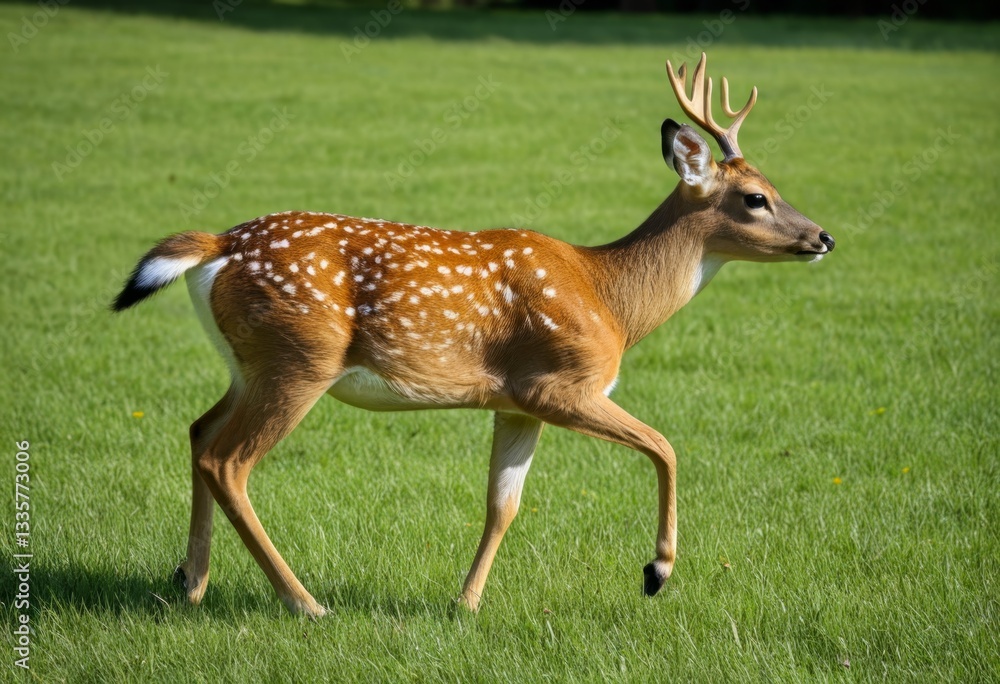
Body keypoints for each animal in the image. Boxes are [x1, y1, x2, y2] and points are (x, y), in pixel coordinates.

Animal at [112, 53, 834, 617]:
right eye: (756, 198)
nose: (823, 237)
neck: (611, 298)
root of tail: (218, 245)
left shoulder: (515, 405)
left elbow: (501, 505)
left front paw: (466, 604)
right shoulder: (559, 384)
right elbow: (666, 446)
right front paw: (657, 572)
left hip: (249, 363)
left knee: (199, 431)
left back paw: (192, 582)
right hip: (299, 359)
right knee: (228, 461)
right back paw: (303, 602)